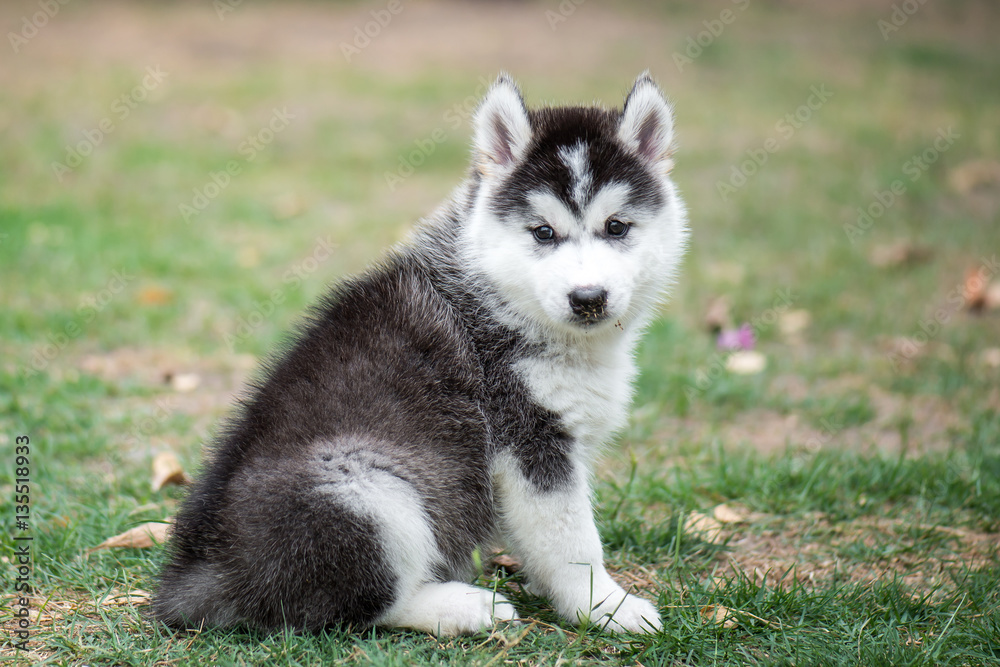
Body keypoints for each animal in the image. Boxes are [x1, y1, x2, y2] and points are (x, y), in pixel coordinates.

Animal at [156, 73, 688, 636]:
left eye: (617, 227)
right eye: (544, 232)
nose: (588, 298)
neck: (501, 301)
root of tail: (201, 573)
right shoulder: (528, 439)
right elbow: (572, 540)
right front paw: (604, 605)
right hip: (366, 489)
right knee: (356, 606)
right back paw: (464, 606)